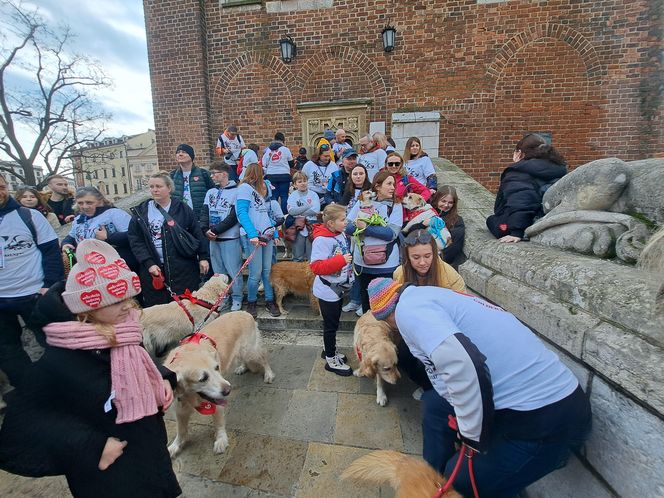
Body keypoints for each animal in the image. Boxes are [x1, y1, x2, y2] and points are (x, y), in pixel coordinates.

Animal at [163, 314, 274, 458]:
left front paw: (221, 440)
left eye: (216, 367)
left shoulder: (215, 402)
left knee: (264, 359)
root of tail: (245, 312)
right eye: (203, 378)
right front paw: (175, 446)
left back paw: (269, 374)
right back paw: (242, 367)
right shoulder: (180, 408)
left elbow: (218, 423)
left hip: (250, 351)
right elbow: (181, 430)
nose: (228, 390)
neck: (190, 396)